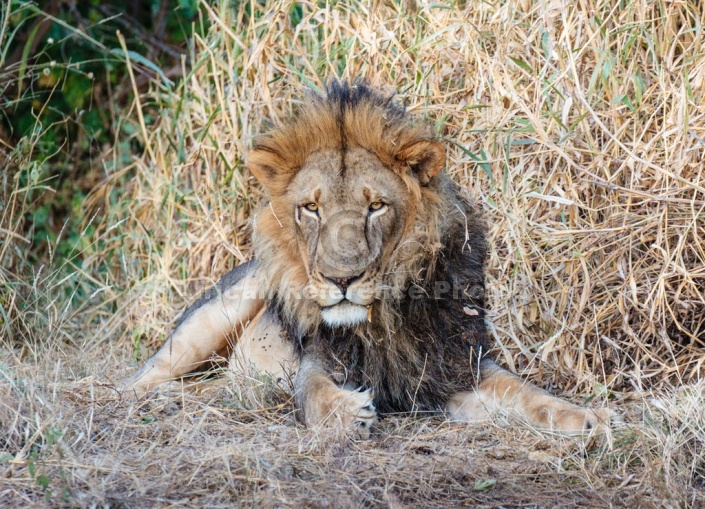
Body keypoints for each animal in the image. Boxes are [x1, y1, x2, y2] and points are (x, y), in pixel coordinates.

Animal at [122, 79, 616, 436]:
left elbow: (524, 391)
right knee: (145, 376)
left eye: (376, 206)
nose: (342, 280)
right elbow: (311, 393)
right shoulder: (318, 359)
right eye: (311, 208)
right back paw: (159, 396)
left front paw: (588, 418)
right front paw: (346, 412)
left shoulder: (451, 367)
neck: (383, 320)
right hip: (215, 314)